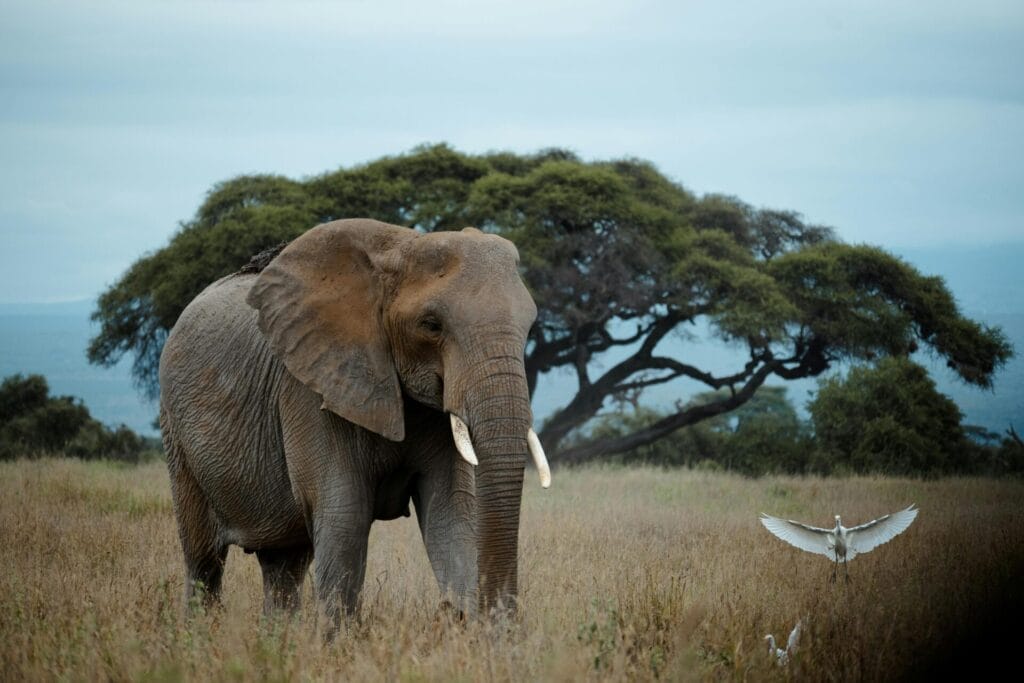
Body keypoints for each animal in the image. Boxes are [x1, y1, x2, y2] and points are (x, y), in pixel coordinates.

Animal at [158, 218, 550, 628]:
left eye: (529, 326)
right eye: (431, 325)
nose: (498, 623)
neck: (399, 249)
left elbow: (451, 513)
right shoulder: (311, 389)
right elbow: (346, 517)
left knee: (283, 563)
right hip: (176, 433)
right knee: (204, 561)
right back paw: (197, 632)